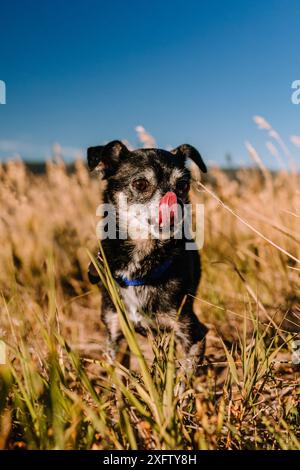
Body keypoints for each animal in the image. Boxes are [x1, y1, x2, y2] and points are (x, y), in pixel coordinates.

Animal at [88, 140, 207, 374]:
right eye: (141, 183)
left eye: (183, 185)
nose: (177, 206)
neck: (141, 263)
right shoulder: (116, 334)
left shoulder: (192, 333)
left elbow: (183, 377)